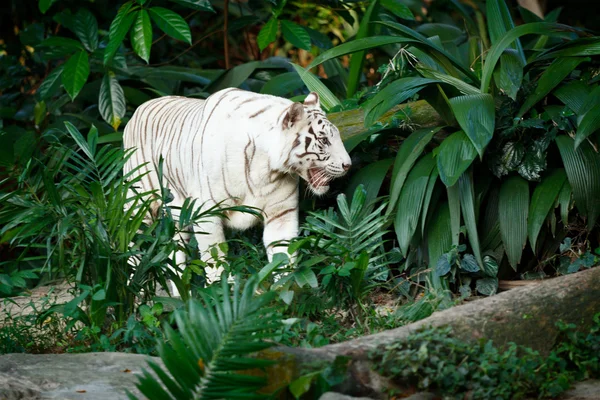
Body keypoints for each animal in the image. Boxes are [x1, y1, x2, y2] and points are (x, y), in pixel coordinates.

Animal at [125, 88, 354, 294]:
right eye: (324, 140)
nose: (348, 165)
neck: (267, 167)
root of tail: (139, 108)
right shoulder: (207, 215)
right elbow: (215, 260)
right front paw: (219, 293)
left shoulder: (281, 214)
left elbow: (283, 254)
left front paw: (285, 292)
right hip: (139, 204)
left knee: (176, 252)